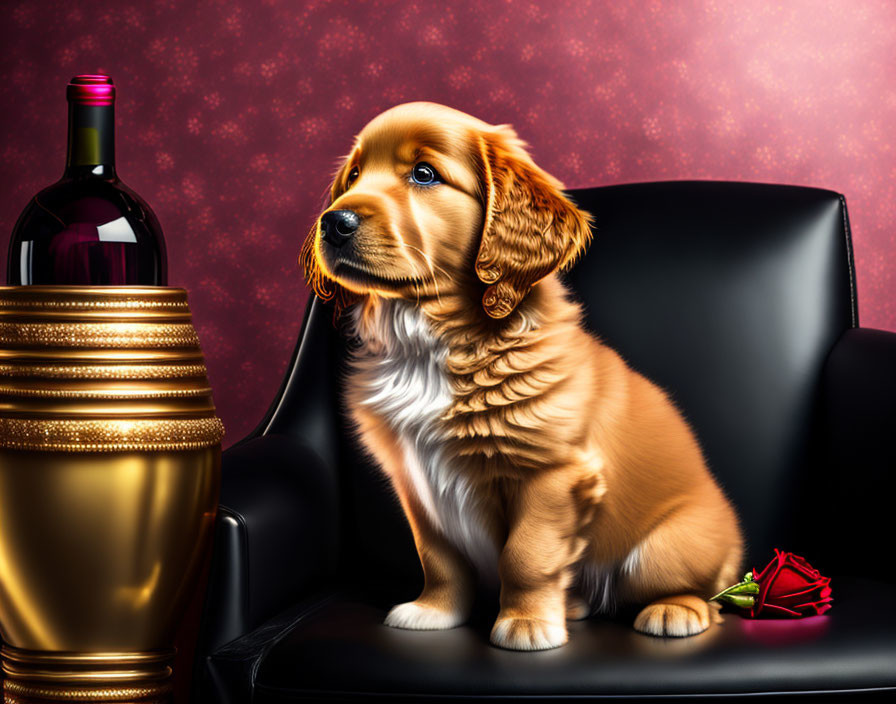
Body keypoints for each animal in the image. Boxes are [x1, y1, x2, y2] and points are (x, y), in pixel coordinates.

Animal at [300, 99, 744, 648]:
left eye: (424, 174)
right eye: (355, 175)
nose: (333, 222)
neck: (432, 336)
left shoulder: (549, 474)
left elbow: (527, 555)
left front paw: (527, 624)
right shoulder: (416, 481)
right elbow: (439, 557)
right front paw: (435, 611)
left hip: (665, 549)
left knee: (704, 594)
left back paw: (674, 611)